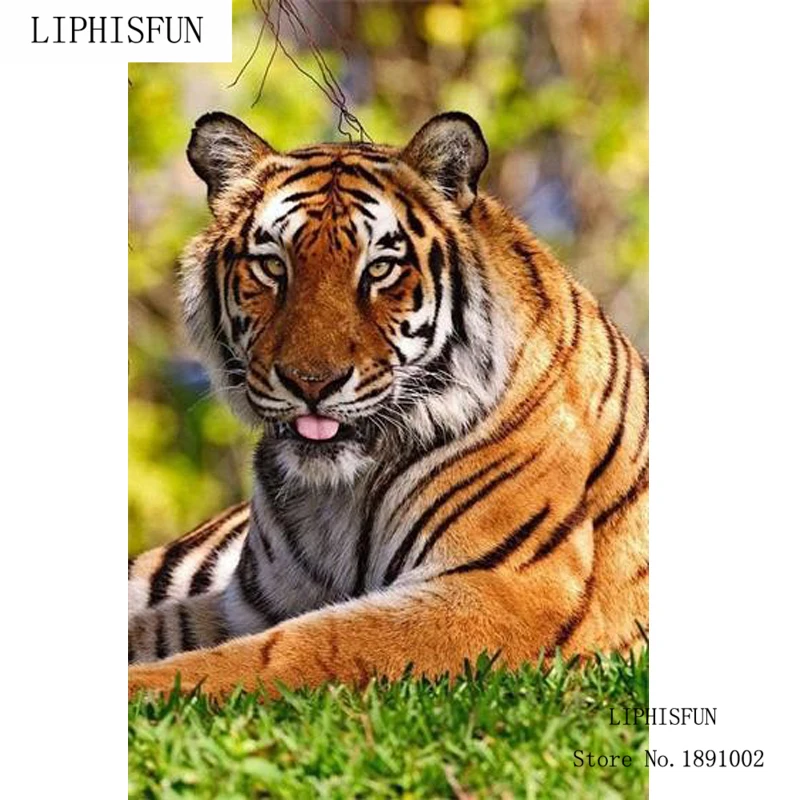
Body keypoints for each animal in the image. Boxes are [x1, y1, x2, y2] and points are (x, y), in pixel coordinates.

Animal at [128, 111, 648, 698]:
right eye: (271, 266)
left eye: (378, 269)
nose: (311, 383)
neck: (337, 496)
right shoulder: (252, 602)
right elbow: (159, 627)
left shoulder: (505, 590)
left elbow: (297, 648)